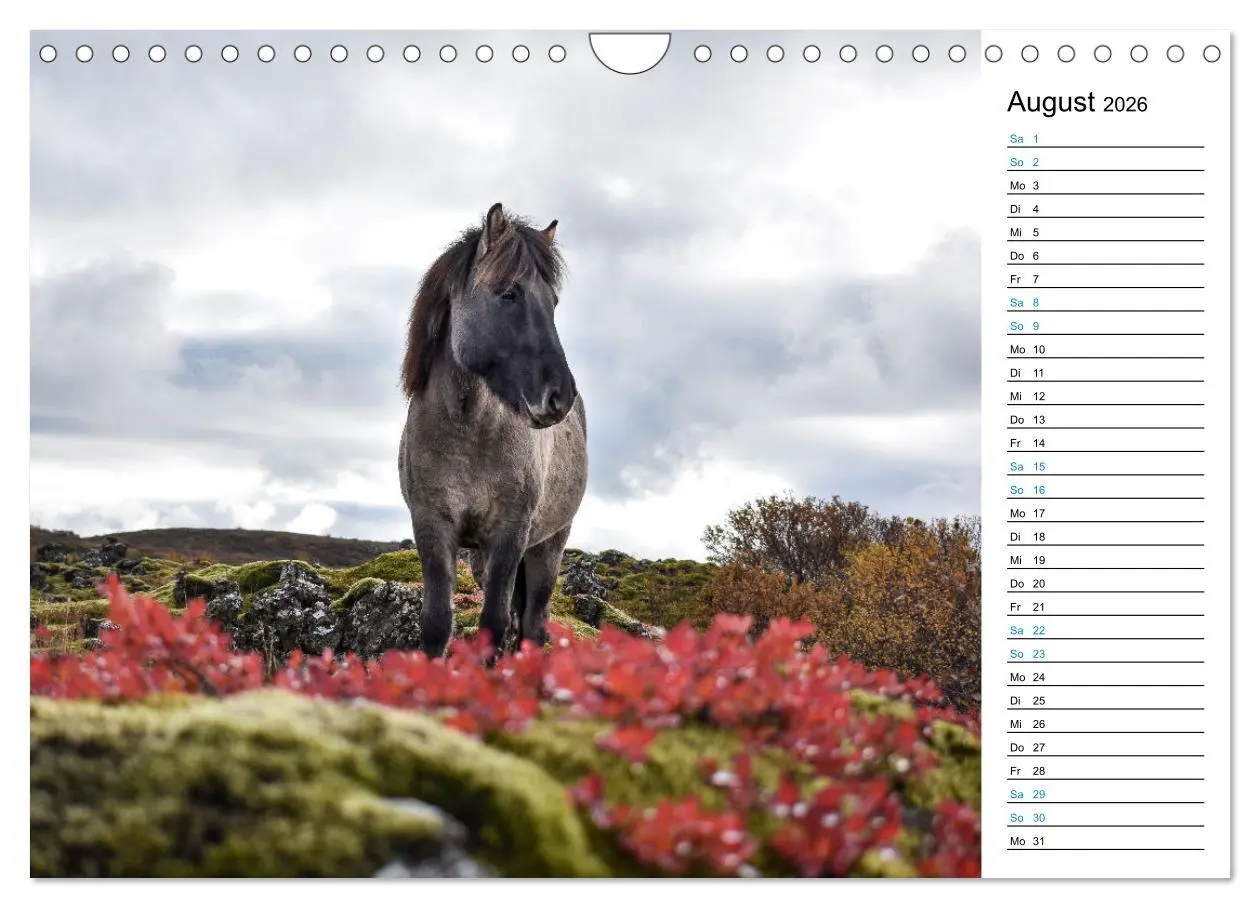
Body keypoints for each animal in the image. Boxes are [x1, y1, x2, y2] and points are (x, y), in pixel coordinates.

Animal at [398, 203, 588, 658]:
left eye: (553, 302)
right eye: (508, 294)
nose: (560, 396)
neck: (467, 432)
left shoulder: (510, 535)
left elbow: (494, 623)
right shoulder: (432, 528)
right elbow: (437, 622)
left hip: (548, 545)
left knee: (533, 623)